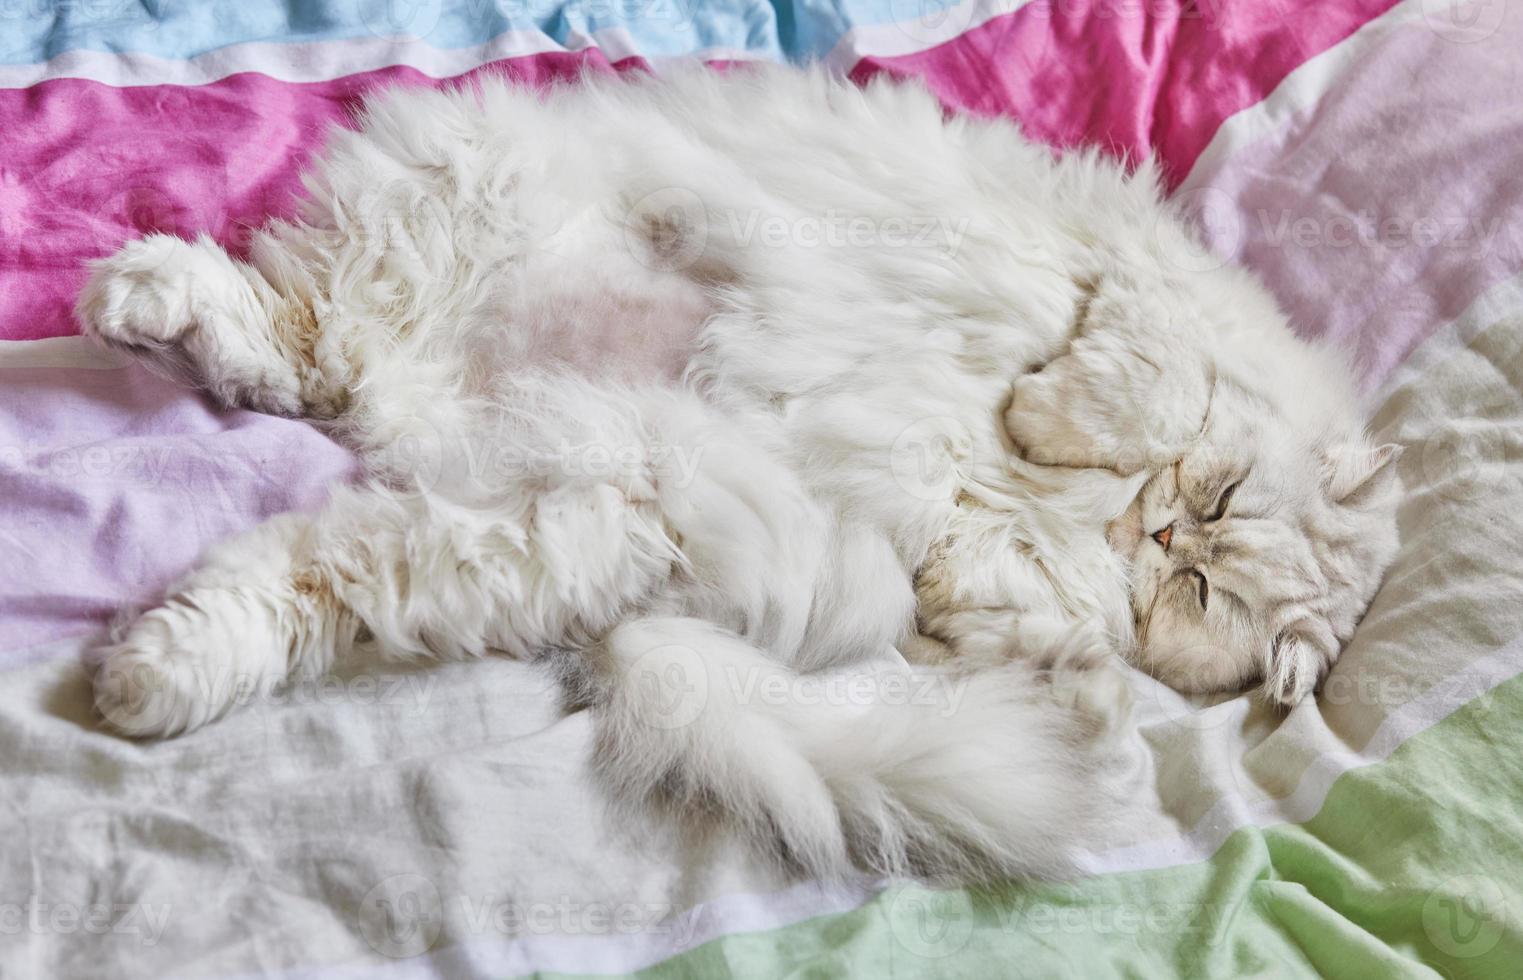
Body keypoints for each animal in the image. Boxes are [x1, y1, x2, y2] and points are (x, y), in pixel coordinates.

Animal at [77, 67, 1395, 883]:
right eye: (1216, 508)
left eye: (1200, 591)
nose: (1170, 537)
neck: (1102, 523)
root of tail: (446, 400)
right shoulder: (1133, 286)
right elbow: (1128, 387)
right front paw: (1044, 421)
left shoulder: (981, 569)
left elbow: (1016, 607)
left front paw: (1082, 680)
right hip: (452, 223)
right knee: (297, 346)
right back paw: (134, 296)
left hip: (573, 513)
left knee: (314, 537)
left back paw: (151, 671)